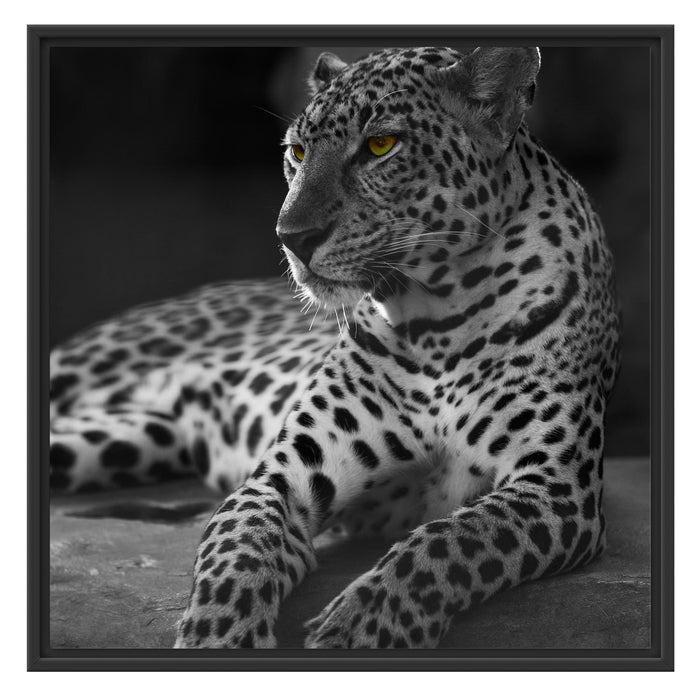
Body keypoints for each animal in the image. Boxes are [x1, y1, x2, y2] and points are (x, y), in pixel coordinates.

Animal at [49, 46, 620, 649]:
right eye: (297, 153)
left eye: (380, 145)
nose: (291, 237)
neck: (436, 319)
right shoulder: (282, 478)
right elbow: (237, 550)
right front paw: (218, 637)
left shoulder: (555, 488)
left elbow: (450, 541)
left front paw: (361, 628)